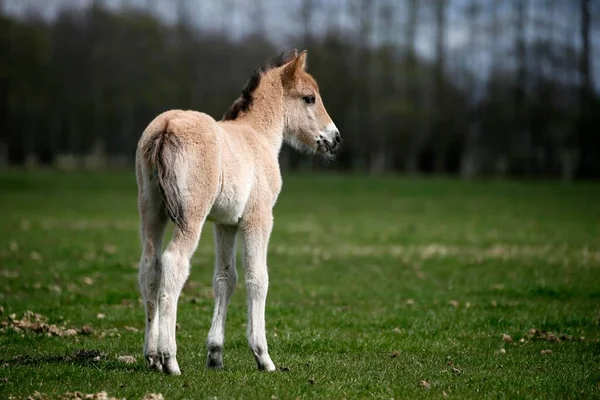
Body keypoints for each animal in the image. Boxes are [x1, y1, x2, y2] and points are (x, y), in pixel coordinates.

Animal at [137, 50, 342, 376]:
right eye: (309, 98)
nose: (335, 139)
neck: (257, 136)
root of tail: (166, 126)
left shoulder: (225, 224)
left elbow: (225, 279)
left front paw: (215, 354)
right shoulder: (259, 219)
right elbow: (258, 279)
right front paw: (263, 356)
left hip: (151, 211)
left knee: (149, 267)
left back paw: (152, 356)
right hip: (190, 217)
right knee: (173, 264)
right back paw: (169, 359)